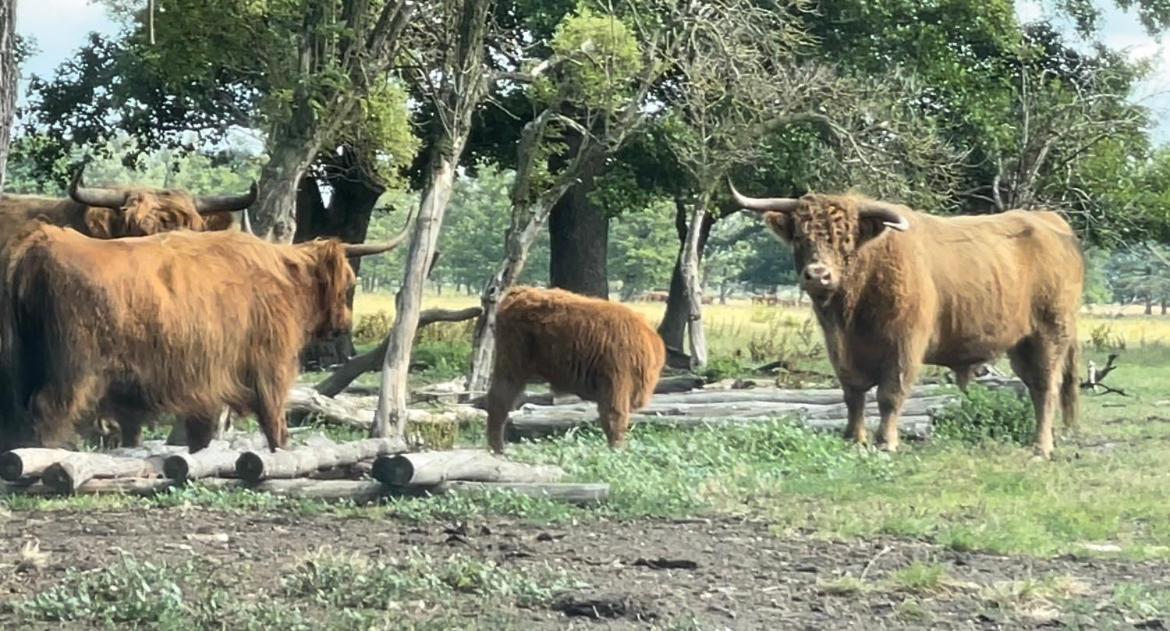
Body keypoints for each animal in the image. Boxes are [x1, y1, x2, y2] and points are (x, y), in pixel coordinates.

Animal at [0, 224, 407, 451]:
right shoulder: (270, 366)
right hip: (75, 368)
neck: (285, 279)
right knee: (48, 409)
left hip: (22, 362)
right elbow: (275, 424)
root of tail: (40, 242)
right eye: (350, 284)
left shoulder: (206, 380)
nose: (344, 325)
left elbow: (201, 433)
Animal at [484, 286, 669, 454]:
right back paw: (498, 450)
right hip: (512, 368)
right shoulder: (617, 386)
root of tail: (518, 292)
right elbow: (615, 419)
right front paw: (617, 451)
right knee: (499, 402)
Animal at [730, 182, 1085, 458]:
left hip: (1050, 333)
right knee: (1035, 385)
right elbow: (852, 395)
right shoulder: (840, 350)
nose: (818, 275)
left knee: (1046, 387)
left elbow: (889, 395)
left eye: (846, 240)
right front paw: (854, 438)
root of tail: (1050, 221)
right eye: (800, 238)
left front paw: (886, 442)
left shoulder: (904, 346)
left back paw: (1041, 447)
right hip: (1021, 344)